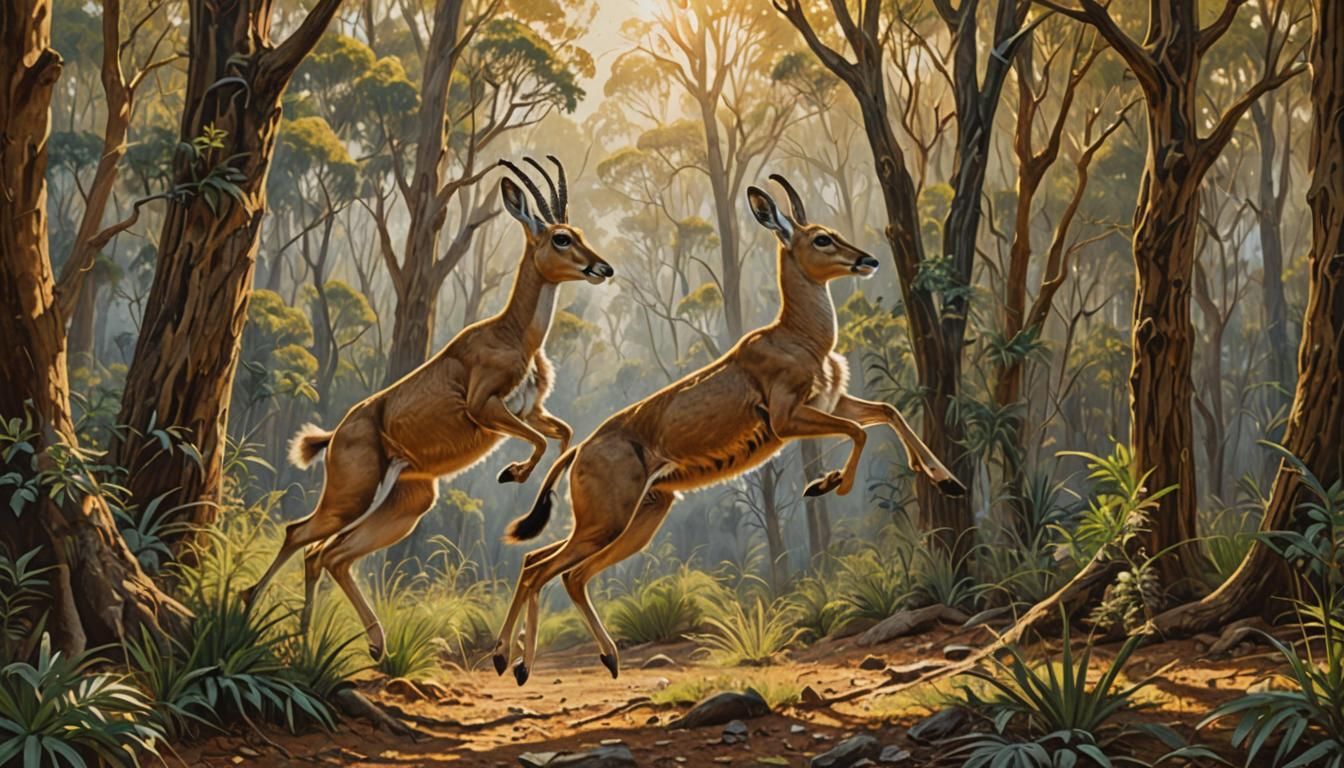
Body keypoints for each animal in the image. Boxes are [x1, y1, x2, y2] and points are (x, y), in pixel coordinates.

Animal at [241, 157, 614, 660]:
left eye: (575, 232)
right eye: (560, 237)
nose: (602, 268)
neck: (513, 334)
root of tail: (336, 434)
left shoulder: (529, 412)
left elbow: (565, 437)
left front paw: (532, 508)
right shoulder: (485, 409)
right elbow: (540, 443)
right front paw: (512, 476)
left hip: (406, 504)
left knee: (331, 554)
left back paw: (364, 643)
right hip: (353, 496)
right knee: (301, 535)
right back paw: (262, 617)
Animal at [491, 175, 965, 685]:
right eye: (821, 238)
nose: (868, 260)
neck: (799, 337)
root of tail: (578, 452)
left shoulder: (833, 403)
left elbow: (887, 412)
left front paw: (948, 481)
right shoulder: (789, 419)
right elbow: (860, 433)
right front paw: (827, 484)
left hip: (637, 521)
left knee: (553, 567)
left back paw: (573, 659)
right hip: (608, 522)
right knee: (544, 569)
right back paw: (517, 662)